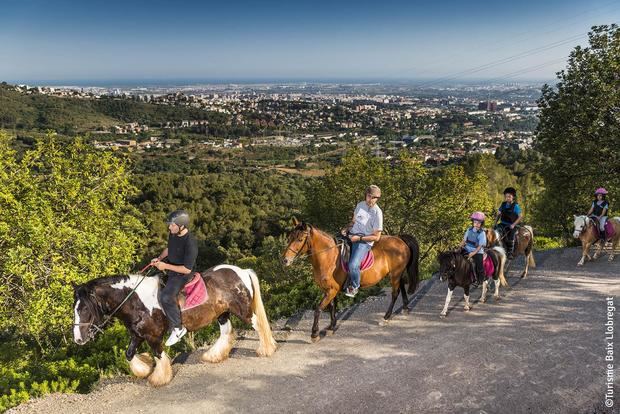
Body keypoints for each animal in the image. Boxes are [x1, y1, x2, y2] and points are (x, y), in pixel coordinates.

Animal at [72, 264, 276, 386]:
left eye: (85, 308)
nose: (78, 339)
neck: (135, 300)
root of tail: (242, 271)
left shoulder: (153, 336)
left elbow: (159, 355)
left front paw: (159, 378)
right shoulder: (137, 335)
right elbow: (129, 354)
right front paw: (144, 370)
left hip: (243, 311)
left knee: (258, 324)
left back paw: (267, 349)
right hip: (222, 314)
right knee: (226, 332)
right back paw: (214, 356)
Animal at [282, 218, 422, 342]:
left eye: (300, 239)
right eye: (289, 238)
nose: (285, 260)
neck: (328, 257)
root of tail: (399, 239)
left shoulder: (332, 290)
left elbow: (318, 309)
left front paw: (314, 334)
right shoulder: (328, 289)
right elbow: (331, 306)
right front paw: (331, 327)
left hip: (395, 274)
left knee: (395, 293)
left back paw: (386, 317)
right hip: (396, 273)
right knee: (402, 285)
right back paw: (405, 307)